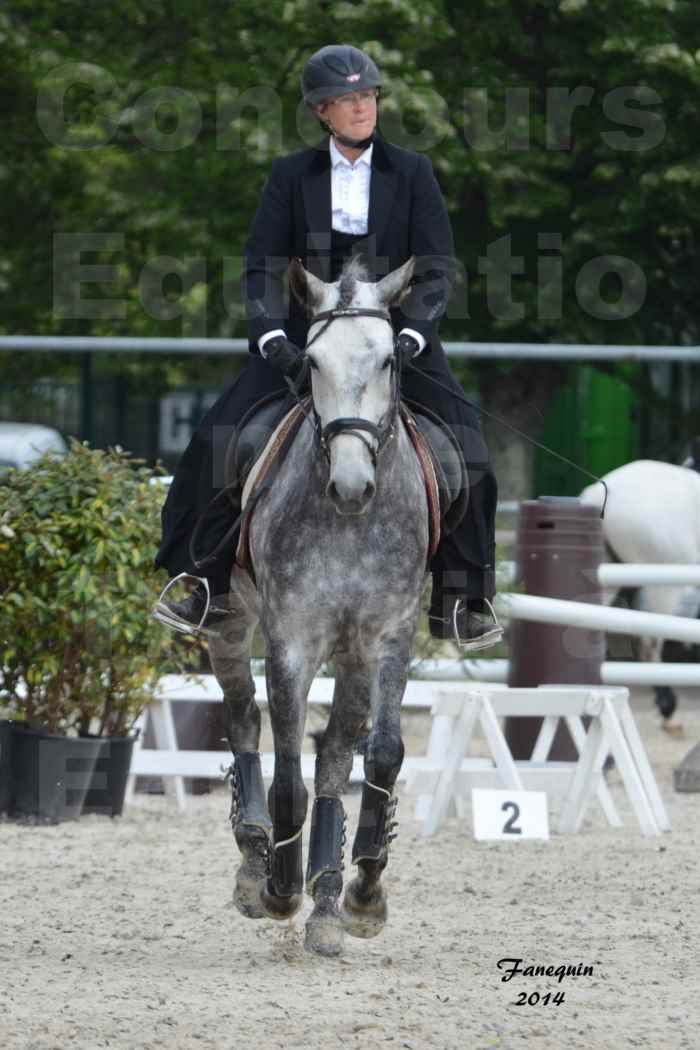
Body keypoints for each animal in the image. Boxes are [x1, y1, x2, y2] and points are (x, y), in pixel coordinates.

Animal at [205, 256, 430, 961]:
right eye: (310, 363)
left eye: (388, 359)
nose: (352, 486)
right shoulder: (292, 638)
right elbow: (286, 773)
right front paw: (280, 886)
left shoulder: (385, 634)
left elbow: (378, 754)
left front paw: (360, 896)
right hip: (228, 622)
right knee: (243, 718)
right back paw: (256, 861)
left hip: (352, 653)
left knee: (335, 754)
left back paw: (328, 899)